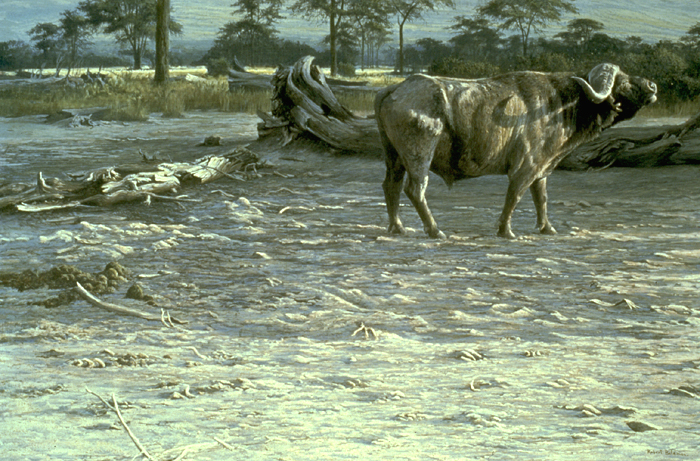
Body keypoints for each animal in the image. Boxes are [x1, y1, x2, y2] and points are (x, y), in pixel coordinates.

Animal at [378, 62, 656, 237]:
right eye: (624, 81)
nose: (652, 87)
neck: (560, 104)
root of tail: (396, 88)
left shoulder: (542, 169)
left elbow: (541, 198)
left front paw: (546, 228)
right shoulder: (525, 167)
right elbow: (514, 196)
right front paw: (506, 231)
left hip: (394, 157)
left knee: (391, 185)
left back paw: (397, 227)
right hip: (419, 155)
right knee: (415, 189)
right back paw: (435, 230)